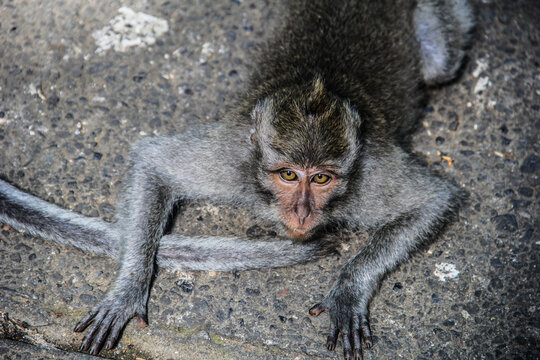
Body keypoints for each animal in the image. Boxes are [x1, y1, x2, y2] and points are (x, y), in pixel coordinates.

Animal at [1, 0, 472, 358]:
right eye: (288, 174)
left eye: (321, 178)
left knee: (441, 67)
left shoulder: (369, 175)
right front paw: (128, 289)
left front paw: (348, 290)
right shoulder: (230, 161)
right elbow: (153, 162)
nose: (302, 213)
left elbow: (433, 200)